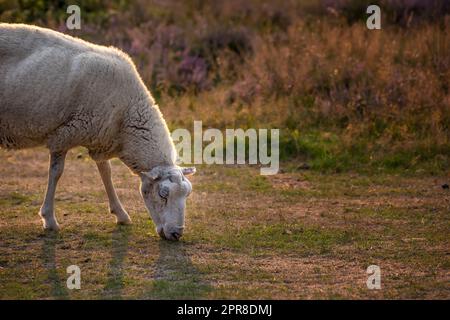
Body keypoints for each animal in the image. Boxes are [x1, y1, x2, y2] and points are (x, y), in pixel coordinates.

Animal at [0, 23, 196, 240]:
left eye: (187, 193)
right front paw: (49, 219)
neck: (127, 117)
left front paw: (121, 214)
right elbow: (56, 173)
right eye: (163, 194)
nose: (177, 233)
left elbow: (106, 172)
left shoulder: (102, 136)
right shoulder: (64, 135)